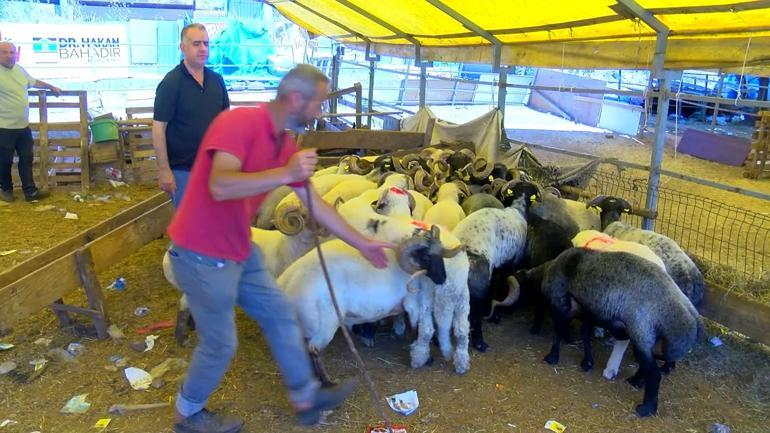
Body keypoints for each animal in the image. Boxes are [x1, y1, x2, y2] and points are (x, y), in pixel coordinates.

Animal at [452, 179, 536, 352]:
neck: (518, 210)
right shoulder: (509, 263)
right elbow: (500, 287)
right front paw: (496, 317)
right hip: (477, 286)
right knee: (474, 313)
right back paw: (480, 343)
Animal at [520, 248, 700, 416]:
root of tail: (688, 311)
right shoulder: (589, 311)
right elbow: (585, 334)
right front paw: (587, 362)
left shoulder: (560, 303)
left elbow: (558, 332)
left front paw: (552, 357)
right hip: (649, 339)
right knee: (649, 366)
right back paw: (635, 381)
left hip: (641, 332)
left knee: (654, 374)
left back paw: (646, 408)